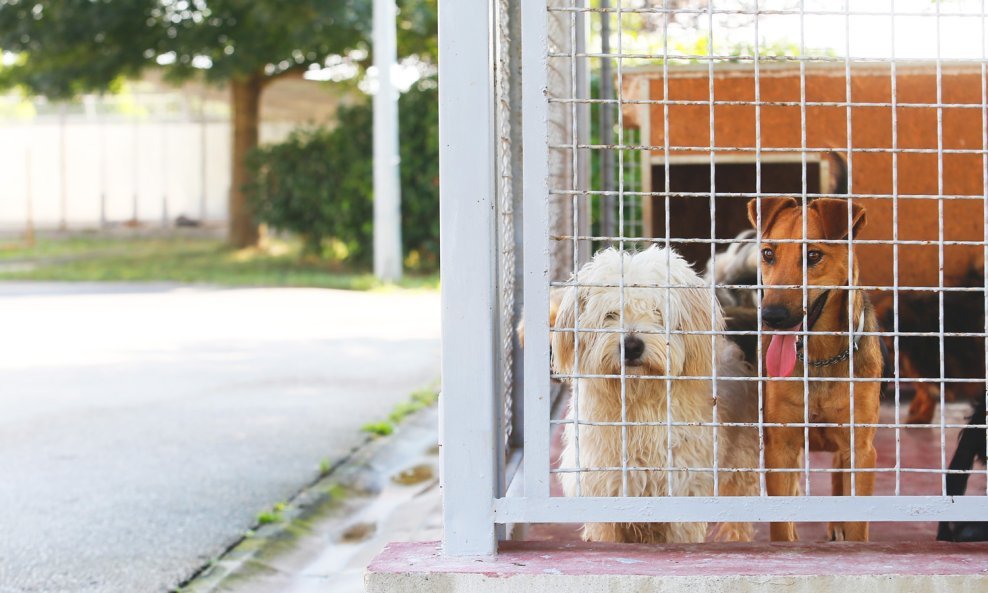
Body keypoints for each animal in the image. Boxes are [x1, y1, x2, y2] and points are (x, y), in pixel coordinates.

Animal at [752, 198, 884, 540]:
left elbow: (857, 524)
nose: (771, 316)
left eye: (813, 255)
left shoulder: (860, 449)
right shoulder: (781, 447)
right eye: (768, 254)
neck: (822, 358)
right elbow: (781, 526)